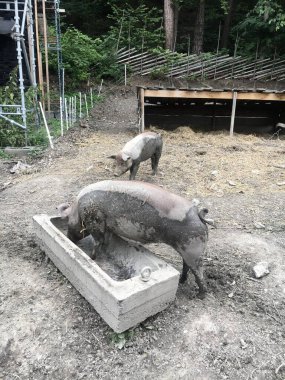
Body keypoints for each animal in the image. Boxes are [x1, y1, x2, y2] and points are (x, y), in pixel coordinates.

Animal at [58, 180, 209, 296]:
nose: (68, 237)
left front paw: (92, 258)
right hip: (188, 249)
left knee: (199, 273)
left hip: (193, 249)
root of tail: (198, 213)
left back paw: (200, 295)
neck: (77, 209)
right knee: (186, 266)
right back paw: (183, 281)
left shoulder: (95, 221)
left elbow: (98, 242)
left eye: (67, 219)